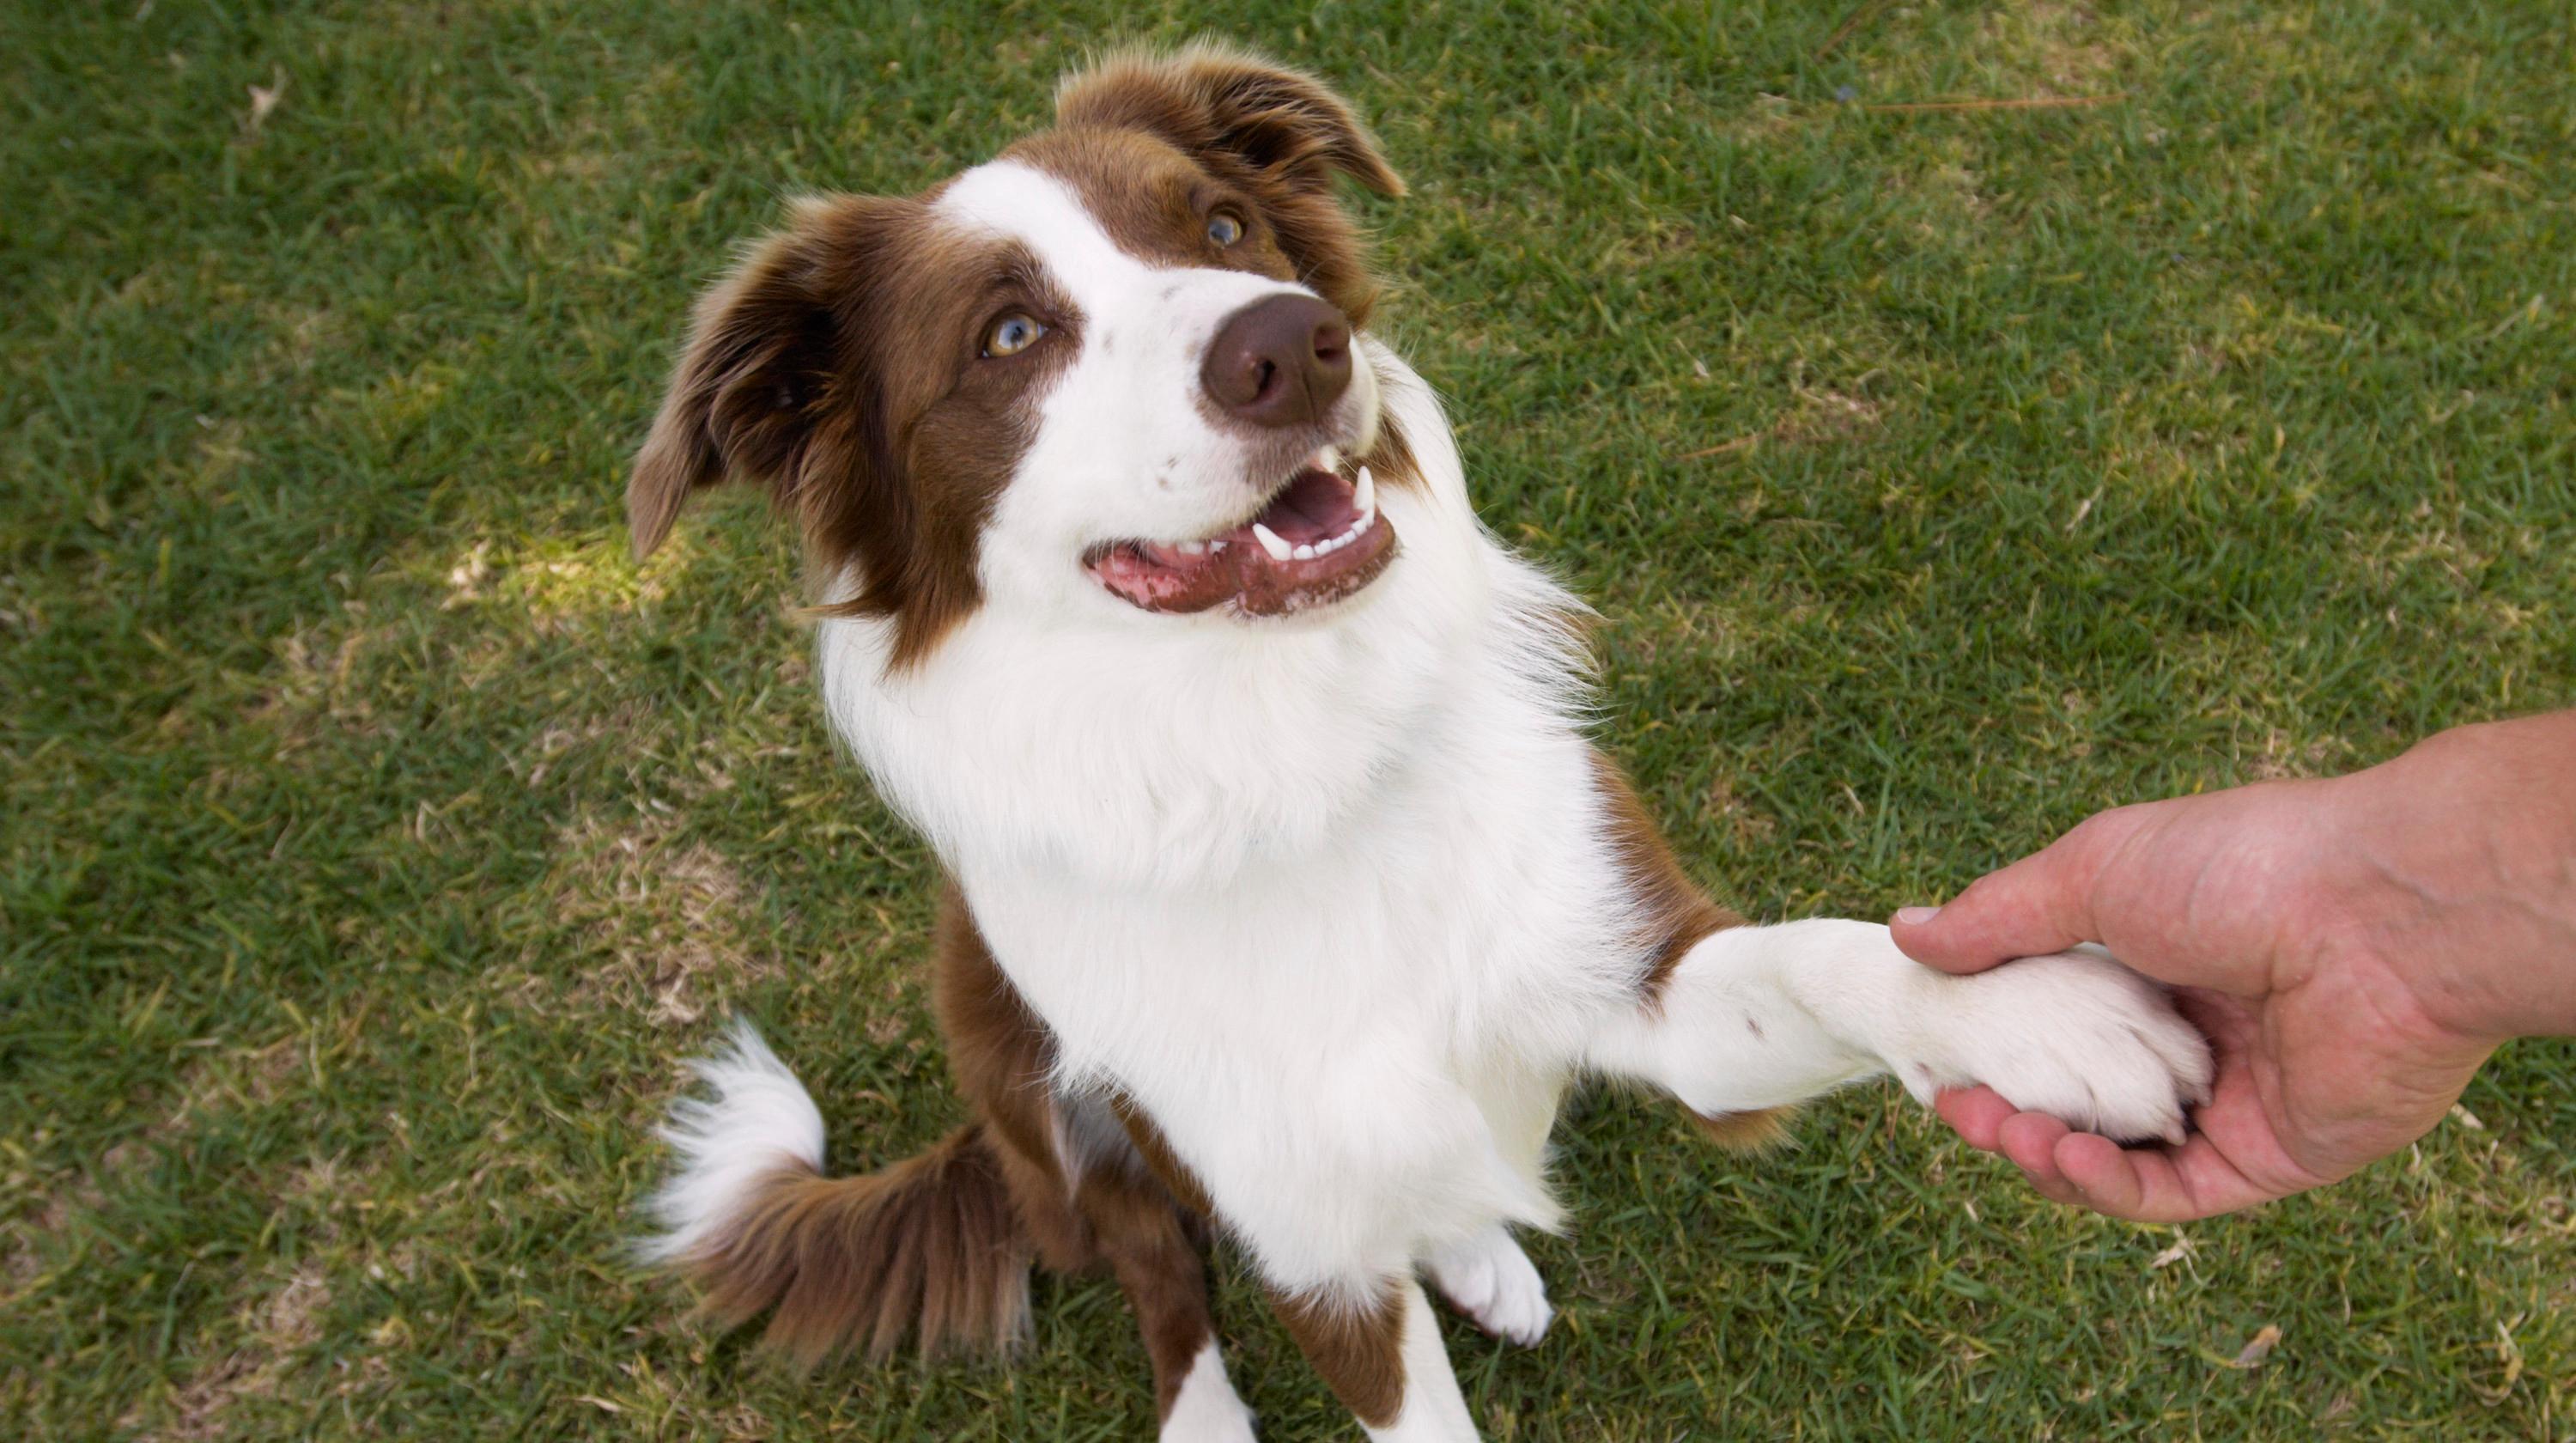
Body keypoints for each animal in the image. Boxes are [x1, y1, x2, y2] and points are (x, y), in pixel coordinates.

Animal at [629, 45, 2215, 1443]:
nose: (1285, 340)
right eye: (1009, 337)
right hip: (1015, 1064)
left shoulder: (1638, 971)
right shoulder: (1306, 1234)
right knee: (1152, 1262)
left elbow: (1818, 953)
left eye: (1223, 225)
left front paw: (2038, 1012)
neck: (1282, 749)